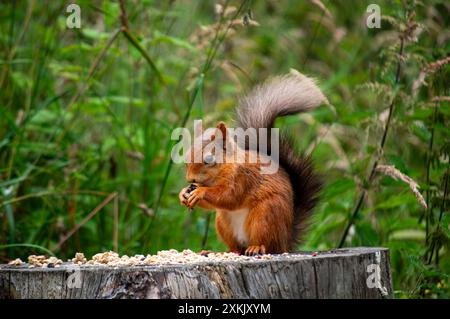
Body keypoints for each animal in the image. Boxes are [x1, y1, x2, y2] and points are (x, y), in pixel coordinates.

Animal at [178, 71, 328, 256]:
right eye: (187, 157)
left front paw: (200, 192)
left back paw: (256, 247)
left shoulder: (243, 177)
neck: (226, 167)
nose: (190, 179)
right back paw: (223, 251)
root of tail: (285, 241)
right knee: (236, 247)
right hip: (223, 222)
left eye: (209, 160)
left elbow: (229, 196)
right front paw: (183, 193)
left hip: (265, 216)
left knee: (267, 243)